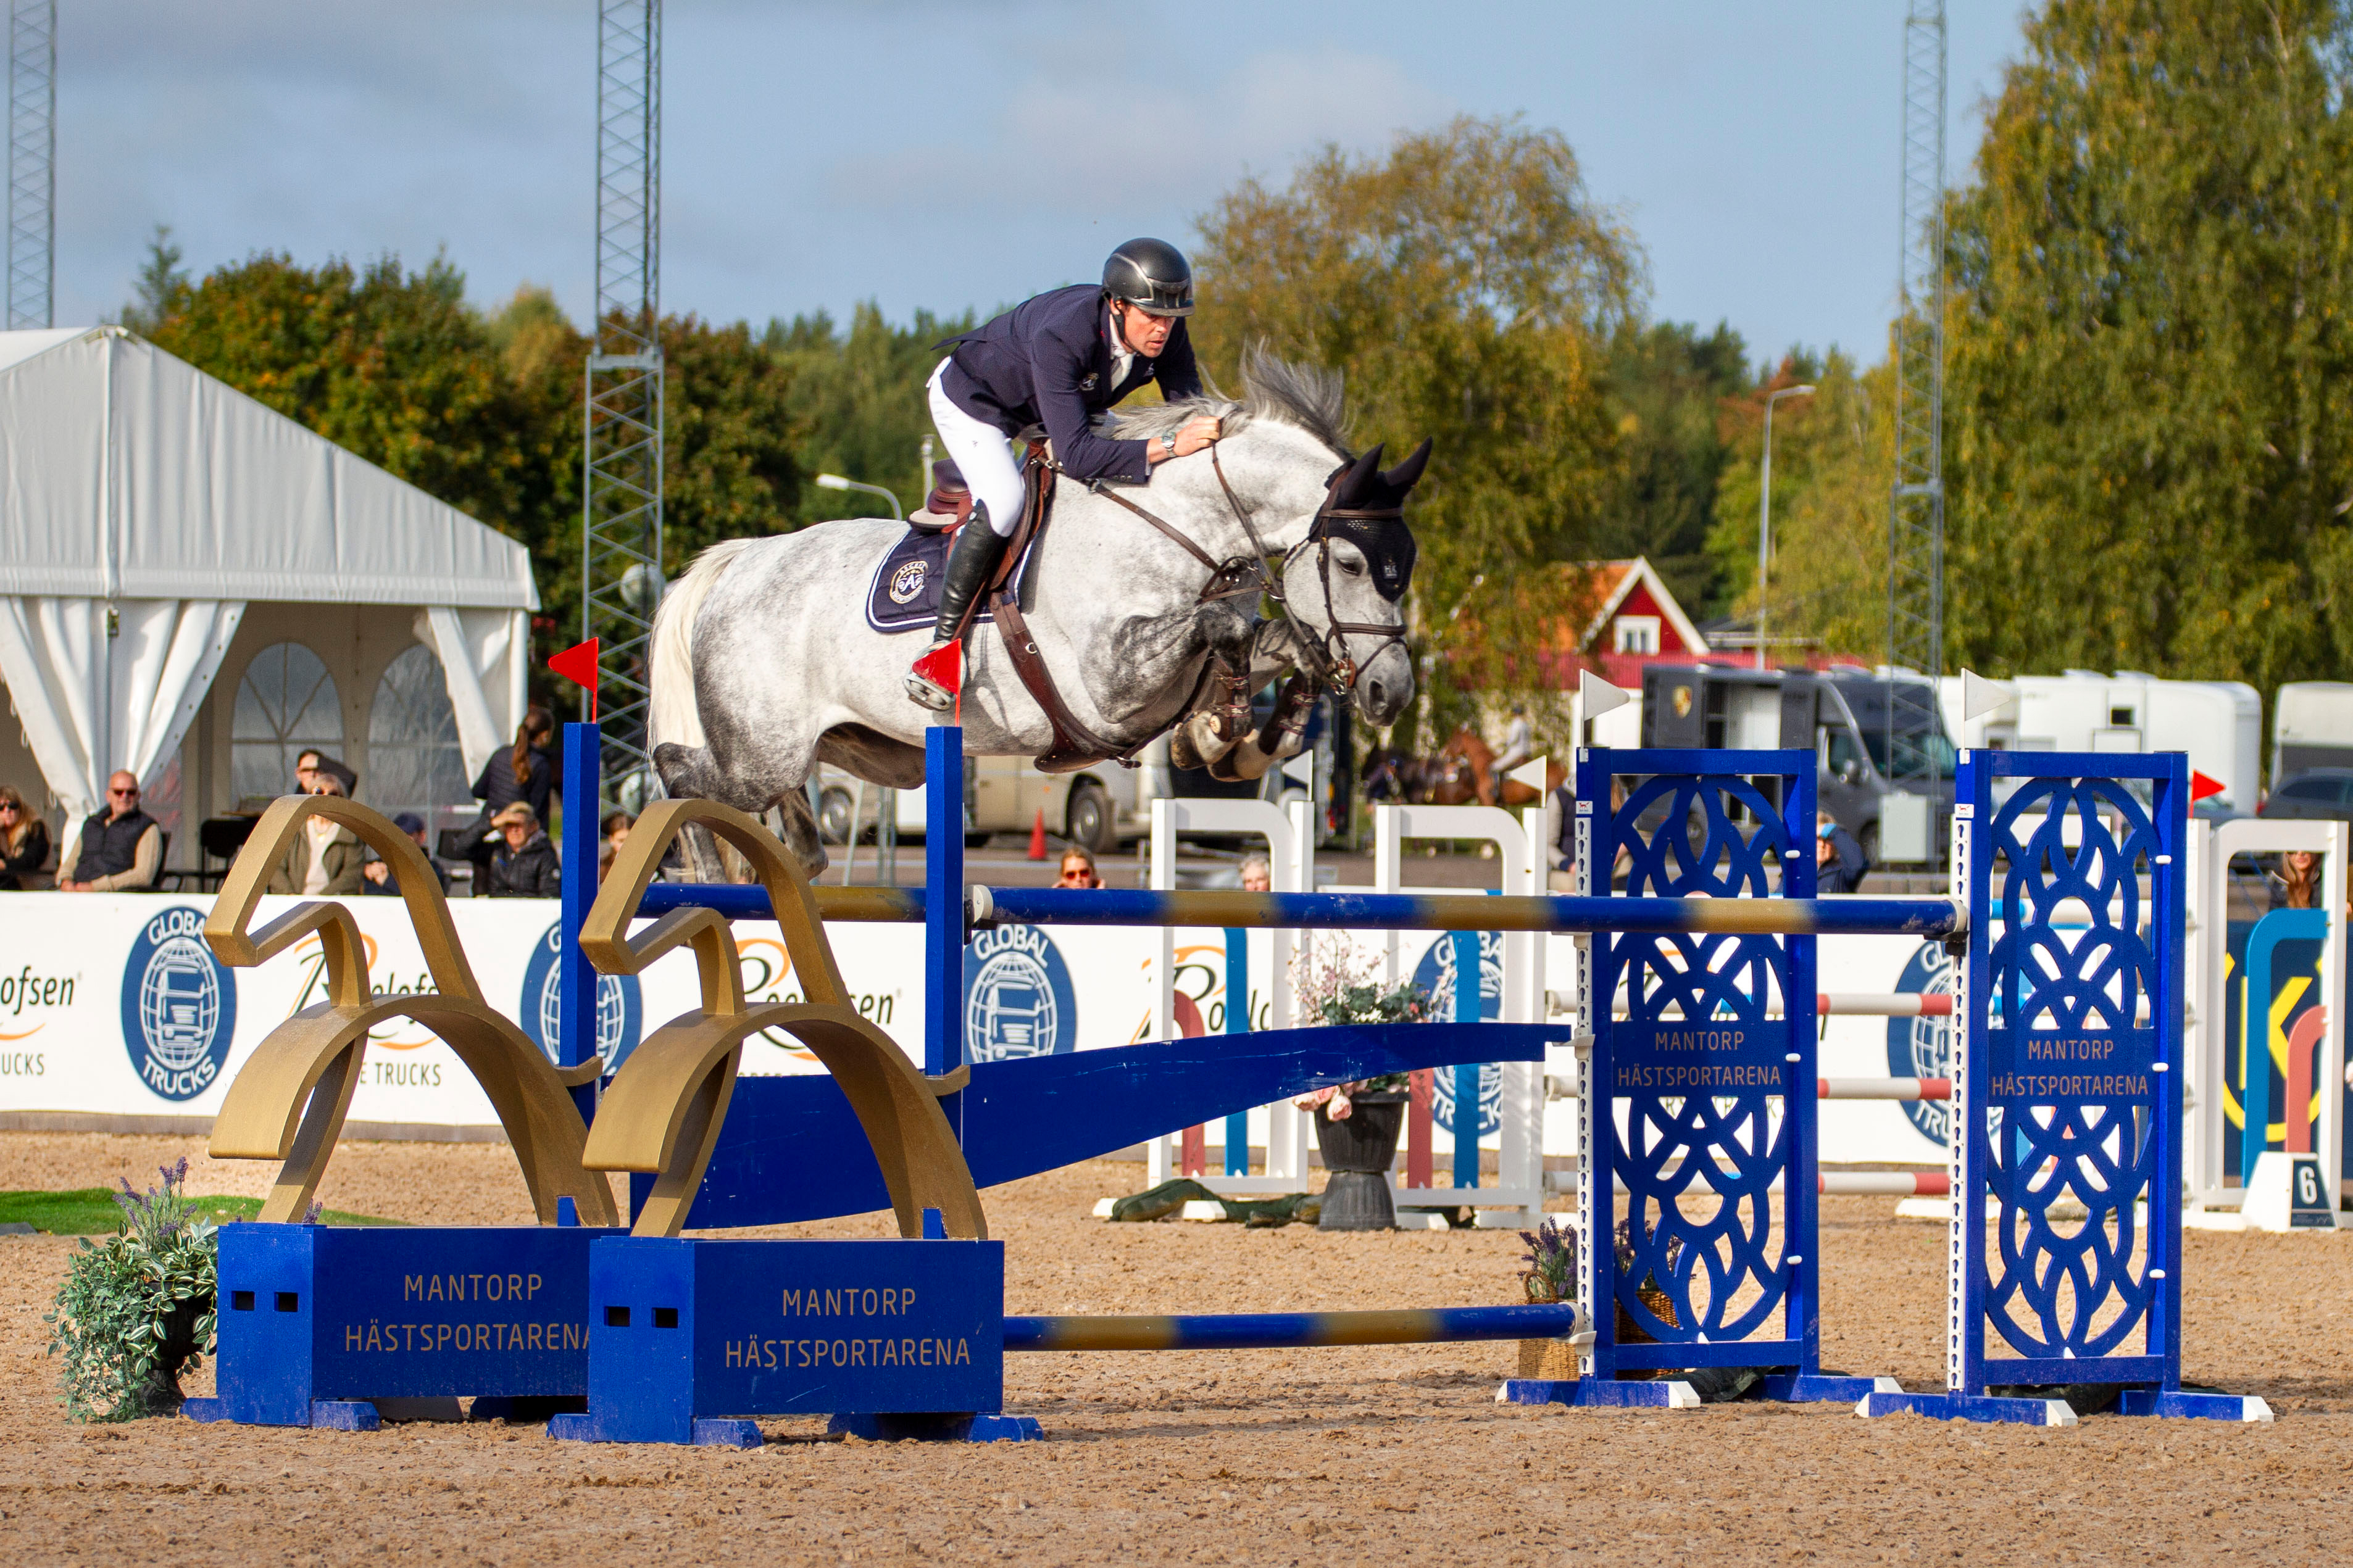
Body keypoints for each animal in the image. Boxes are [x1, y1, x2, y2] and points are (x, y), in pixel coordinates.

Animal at [644, 355, 1421, 879]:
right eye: (1351, 565)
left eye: (1404, 567)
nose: (1392, 692)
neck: (1176, 524)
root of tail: (741, 562)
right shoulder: (1111, 685)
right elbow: (1222, 632)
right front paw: (1222, 732)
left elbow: (1272, 644)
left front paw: (1236, 739)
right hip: (760, 751)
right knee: (678, 773)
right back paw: (707, 872)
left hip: (856, 750)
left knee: (792, 820)